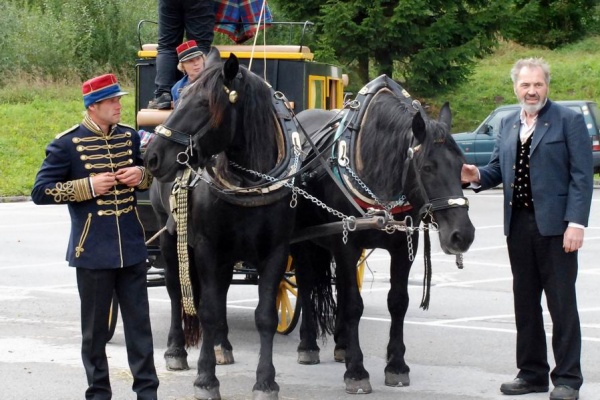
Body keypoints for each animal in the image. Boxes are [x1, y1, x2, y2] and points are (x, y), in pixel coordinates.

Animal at [145, 47, 300, 400]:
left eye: (203, 103)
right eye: (180, 96)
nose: (152, 156)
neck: (249, 182)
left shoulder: (275, 250)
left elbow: (265, 315)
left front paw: (265, 381)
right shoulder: (207, 247)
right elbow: (208, 310)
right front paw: (205, 379)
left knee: (222, 290)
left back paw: (222, 346)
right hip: (169, 237)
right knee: (176, 292)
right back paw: (176, 350)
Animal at [288, 76, 476, 396]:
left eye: (462, 164)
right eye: (427, 167)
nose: (463, 235)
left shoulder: (403, 245)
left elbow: (397, 301)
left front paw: (396, 365)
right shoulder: (346, 244)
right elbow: (354, 305)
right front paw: (356, 371)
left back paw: (341, 344)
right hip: (303, 242)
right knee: (307, 284)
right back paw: (308, 345)